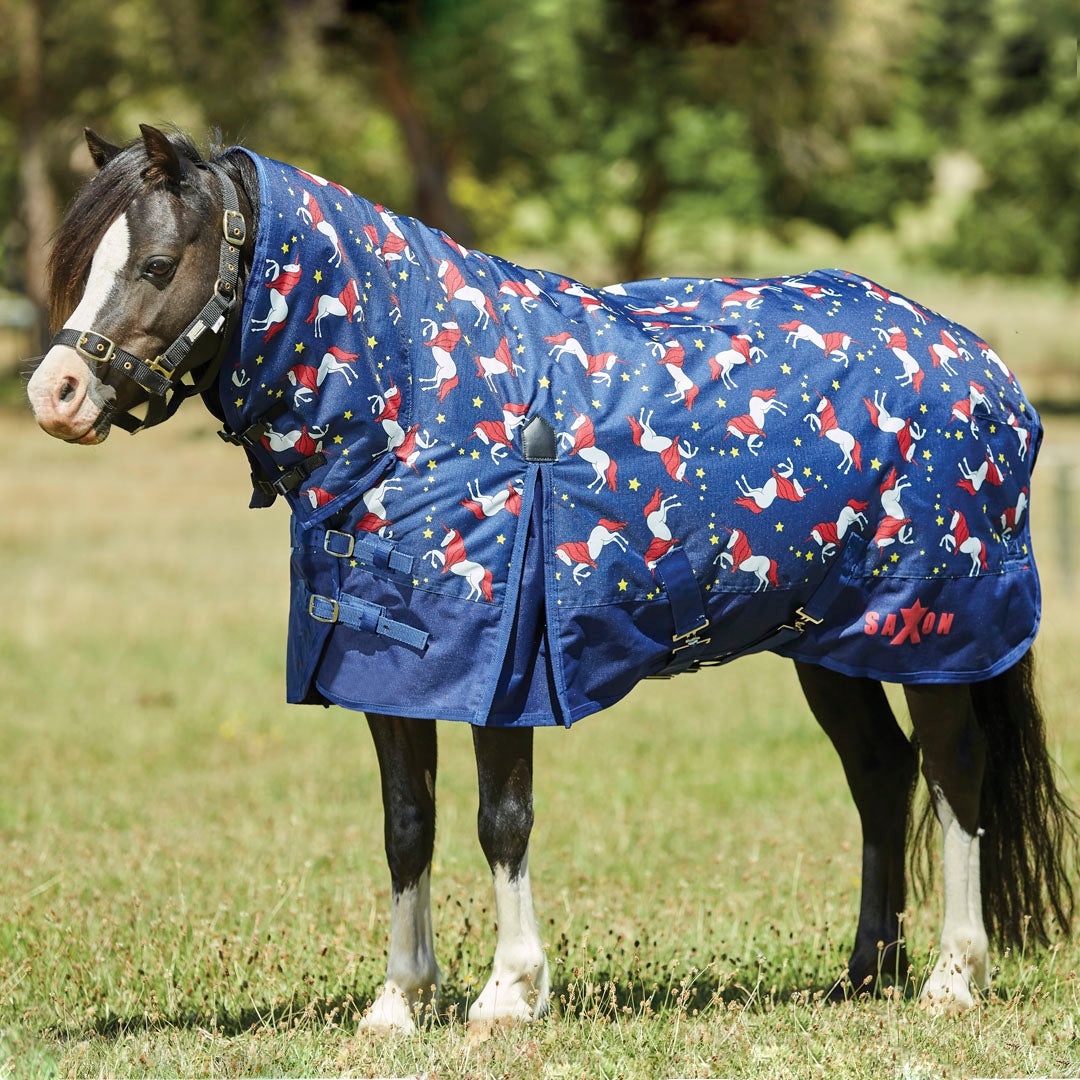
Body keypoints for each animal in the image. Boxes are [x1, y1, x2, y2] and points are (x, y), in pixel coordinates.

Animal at [26, 126, 1077, 1031]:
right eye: (83, 266)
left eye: (158, 265)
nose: (54, 396)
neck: (417, 404)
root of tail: (983, 366)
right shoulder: (391, 668)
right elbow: (407, 825)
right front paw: (399, 1002)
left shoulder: (503, 669)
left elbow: (502, 820)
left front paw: (508, 993)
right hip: (831, 641)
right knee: (881, 774)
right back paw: (866, 973)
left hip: (934, 632)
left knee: (954, 771)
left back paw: (951, 977)